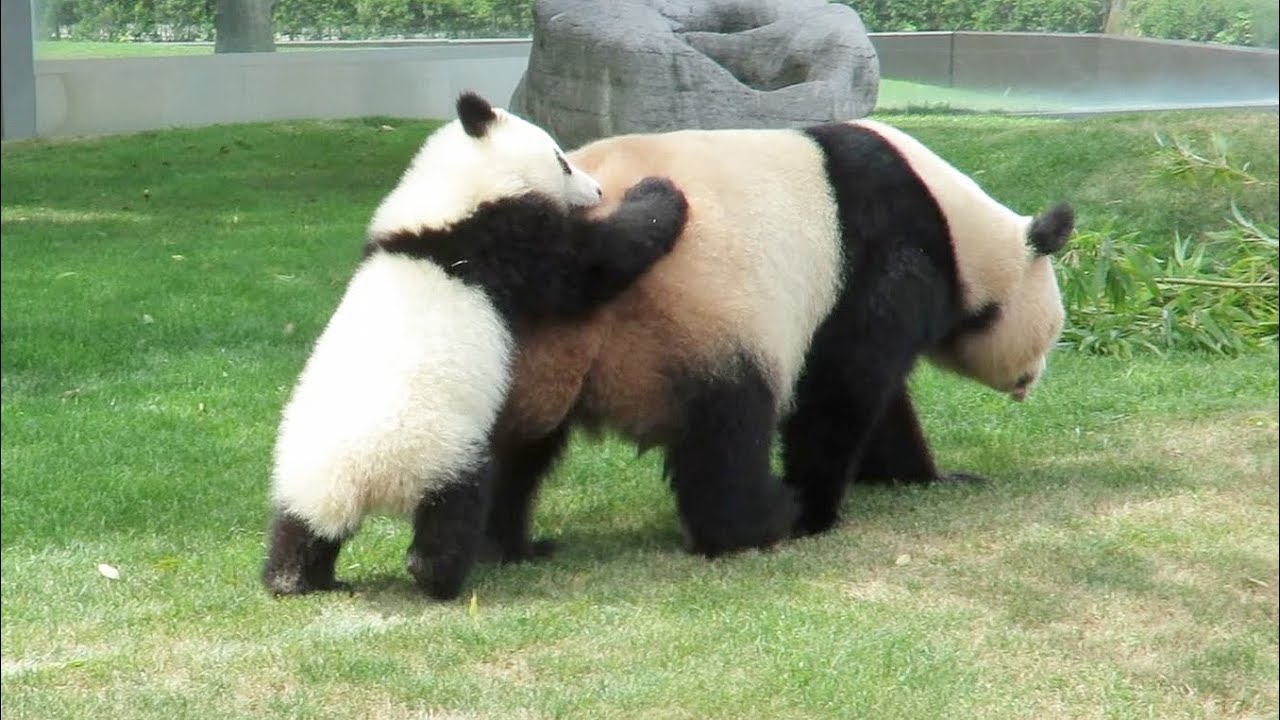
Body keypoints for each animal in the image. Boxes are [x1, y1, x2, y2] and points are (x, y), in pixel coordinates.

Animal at [261, 92, 690, 600]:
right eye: (562, 162)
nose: (599, 192)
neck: (452, 199)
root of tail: (364, 479)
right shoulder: (505, 239)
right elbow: (588, 264)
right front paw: (658, 193)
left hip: (308, 472)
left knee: (301, 527)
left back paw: (292, 578)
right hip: (440, 452)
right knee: (455, 508)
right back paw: (439, 576)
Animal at [483, 119, 1074, 561]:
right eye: (1052, 335)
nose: (1033, 380)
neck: (958, 228)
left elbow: (880, 399)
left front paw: (928, 477)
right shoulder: (889, 255)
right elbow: (848, 382)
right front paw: (818, 509)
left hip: (529, 337)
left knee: (506, 450)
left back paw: (508, 544)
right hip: (698, 312)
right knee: (729, 425)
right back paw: (762, 521)